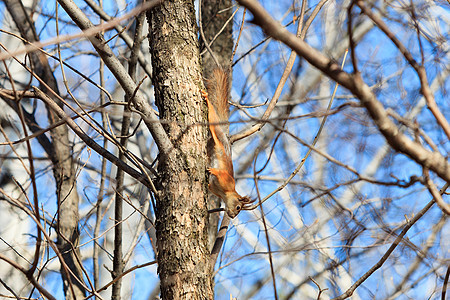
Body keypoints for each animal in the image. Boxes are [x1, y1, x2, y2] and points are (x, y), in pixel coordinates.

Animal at [201, 68, 251, 218]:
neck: (225, 193)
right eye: (238, 207)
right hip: (217, 136)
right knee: (212, 121)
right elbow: (220, 173)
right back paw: (207, 100)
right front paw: (214, 170)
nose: (233, 216)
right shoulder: (227, 180)